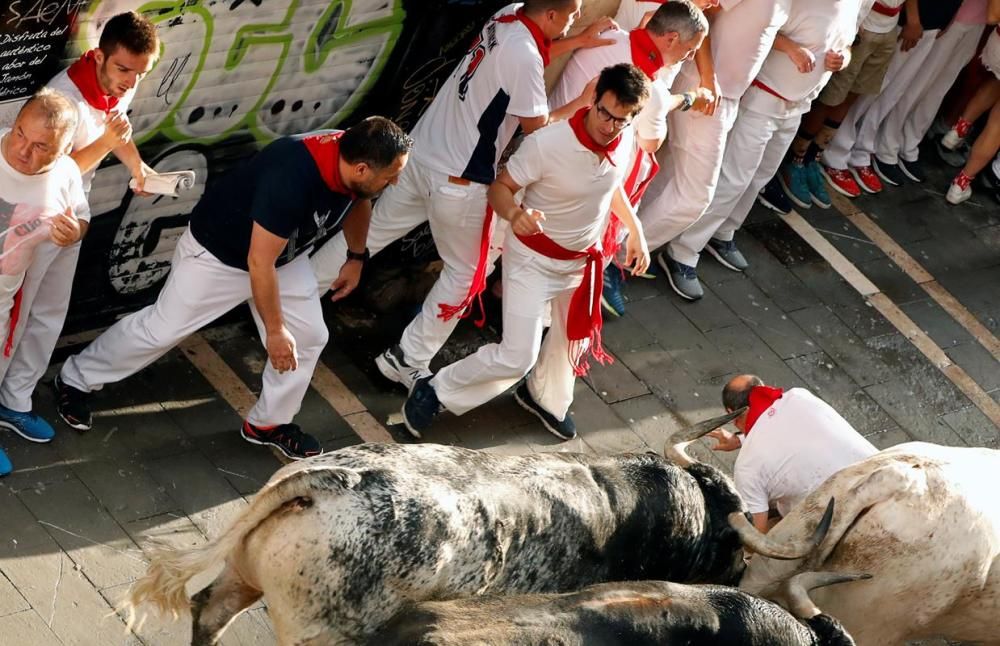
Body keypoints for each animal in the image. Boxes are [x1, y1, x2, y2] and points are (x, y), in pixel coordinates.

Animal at [121, 412, 832, 644]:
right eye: (731, 548)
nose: (743, 576)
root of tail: (333, 480)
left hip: (242, 576)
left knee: (209, 614)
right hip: (318, 632)